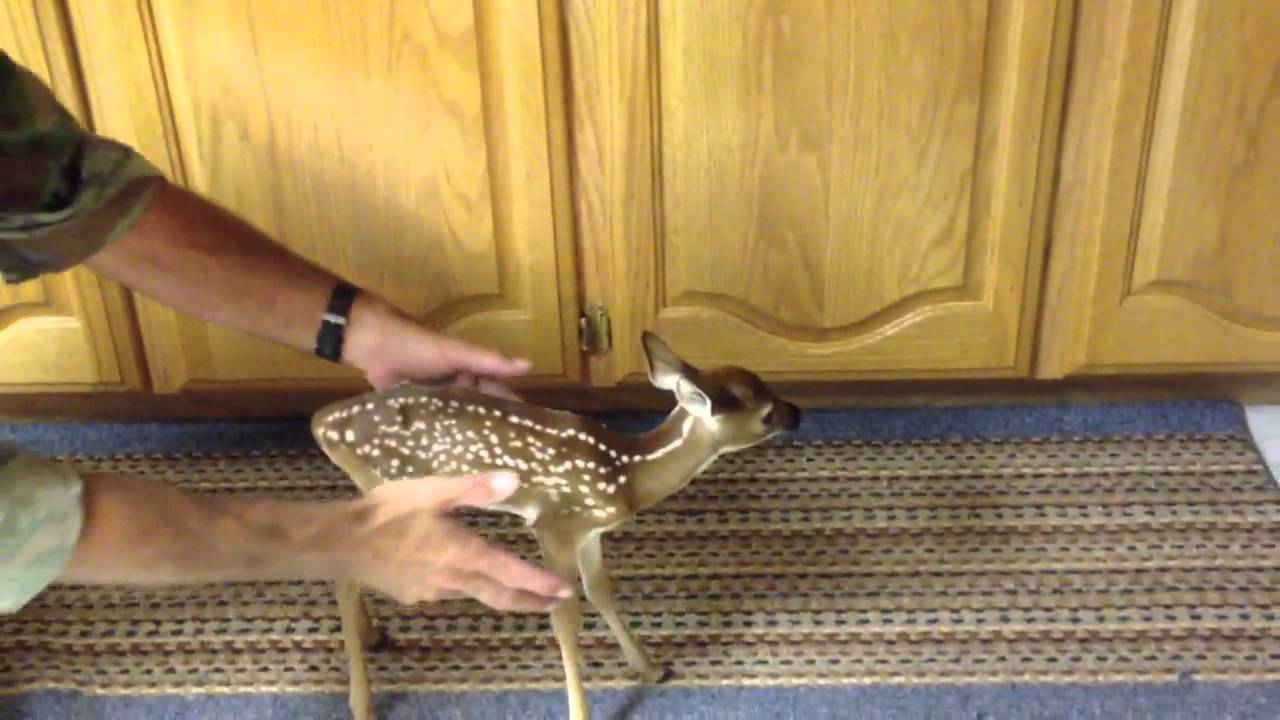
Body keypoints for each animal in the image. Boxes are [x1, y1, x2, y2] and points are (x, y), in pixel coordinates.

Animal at [310, 331, 801, 720]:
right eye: (766, 413)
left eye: (770, 388)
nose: (797, 412)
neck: (626, 472)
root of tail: (321, 423)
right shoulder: (555, 524)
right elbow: (565, 618)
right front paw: (581, 712)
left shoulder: (589, 531)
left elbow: (601, 591)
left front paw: (650, 667)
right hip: (391, 488)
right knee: (345, 574)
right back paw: (363, 704)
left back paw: (373, 635)